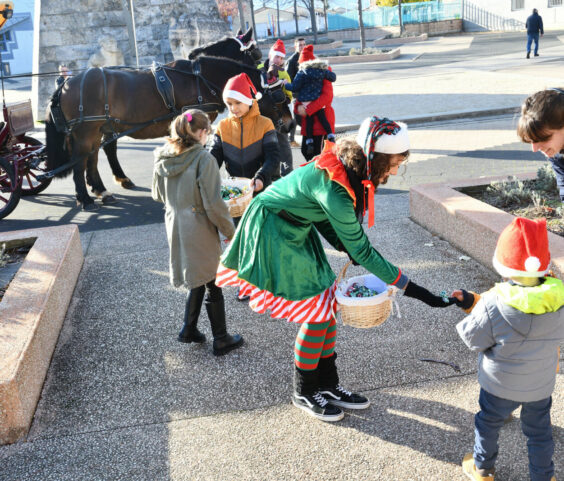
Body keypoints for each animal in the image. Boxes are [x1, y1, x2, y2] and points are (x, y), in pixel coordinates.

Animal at [45, 54, 290, 208]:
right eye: (279, 98)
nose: (288, 124)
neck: (199, 79)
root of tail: (65, 84)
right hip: (85, 132)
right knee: (79, 162)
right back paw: (84, 198)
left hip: (96, 131)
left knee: (94, 158)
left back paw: (101, 190)